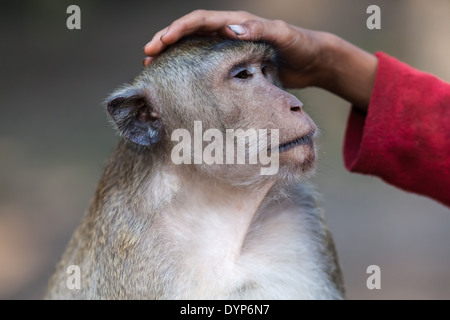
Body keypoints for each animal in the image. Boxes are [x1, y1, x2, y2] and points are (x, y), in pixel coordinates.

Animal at [45, 37, 344, 300]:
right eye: (242, 75)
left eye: (265, 70)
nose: (295, 105)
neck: (218, 201)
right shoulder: (131, 250)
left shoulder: (302, 214)